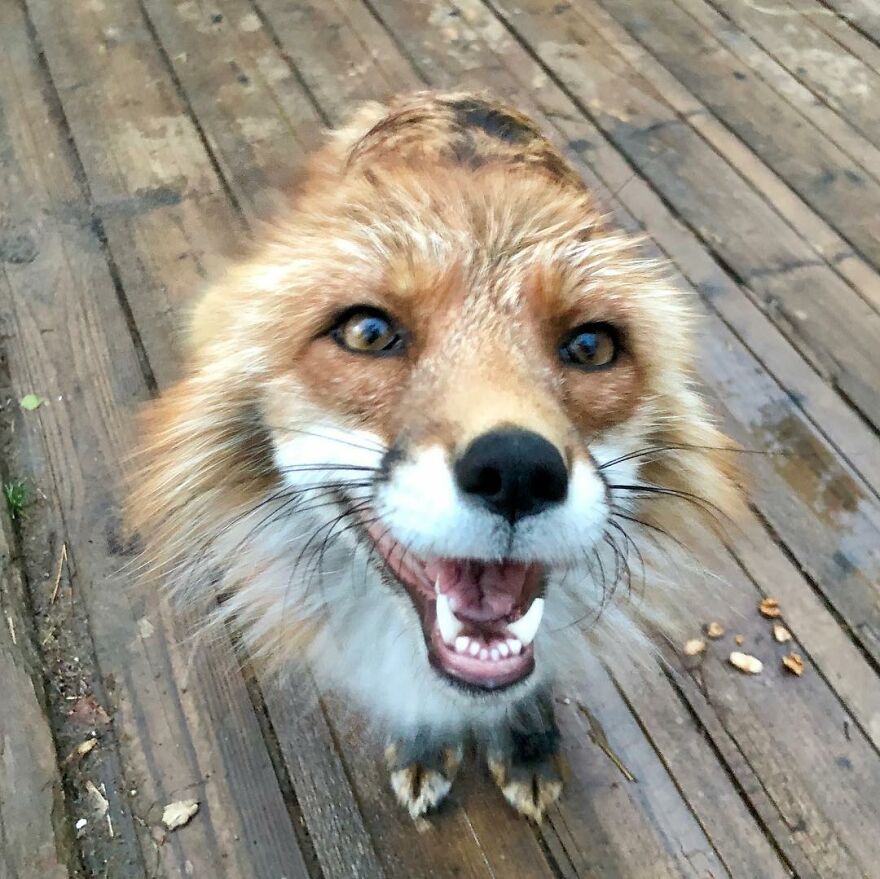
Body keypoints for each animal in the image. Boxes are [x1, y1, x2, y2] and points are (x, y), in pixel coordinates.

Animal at [127, 91, 741, 822]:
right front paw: (425, 743)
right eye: (368, 333)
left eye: (591, 346)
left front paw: (525, 741)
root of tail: (455, 96)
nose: (517, 471)